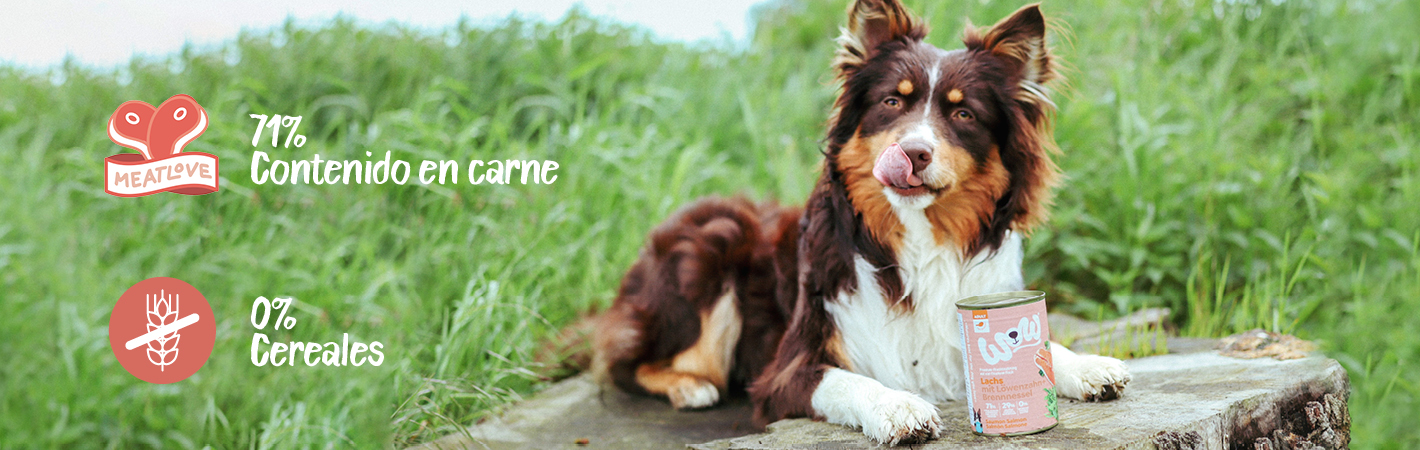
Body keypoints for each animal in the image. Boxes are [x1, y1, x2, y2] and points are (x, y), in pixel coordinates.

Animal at [587, 0, 1130, 445]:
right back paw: (690, 386)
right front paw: (898, 406)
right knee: (625, 363)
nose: (914, 152)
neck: (917, 239)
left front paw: (1086, 365)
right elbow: (848, 379)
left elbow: (1039, 341)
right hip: (716, 237)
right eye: (892, 101)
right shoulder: (790, 368)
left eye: (964, 114)